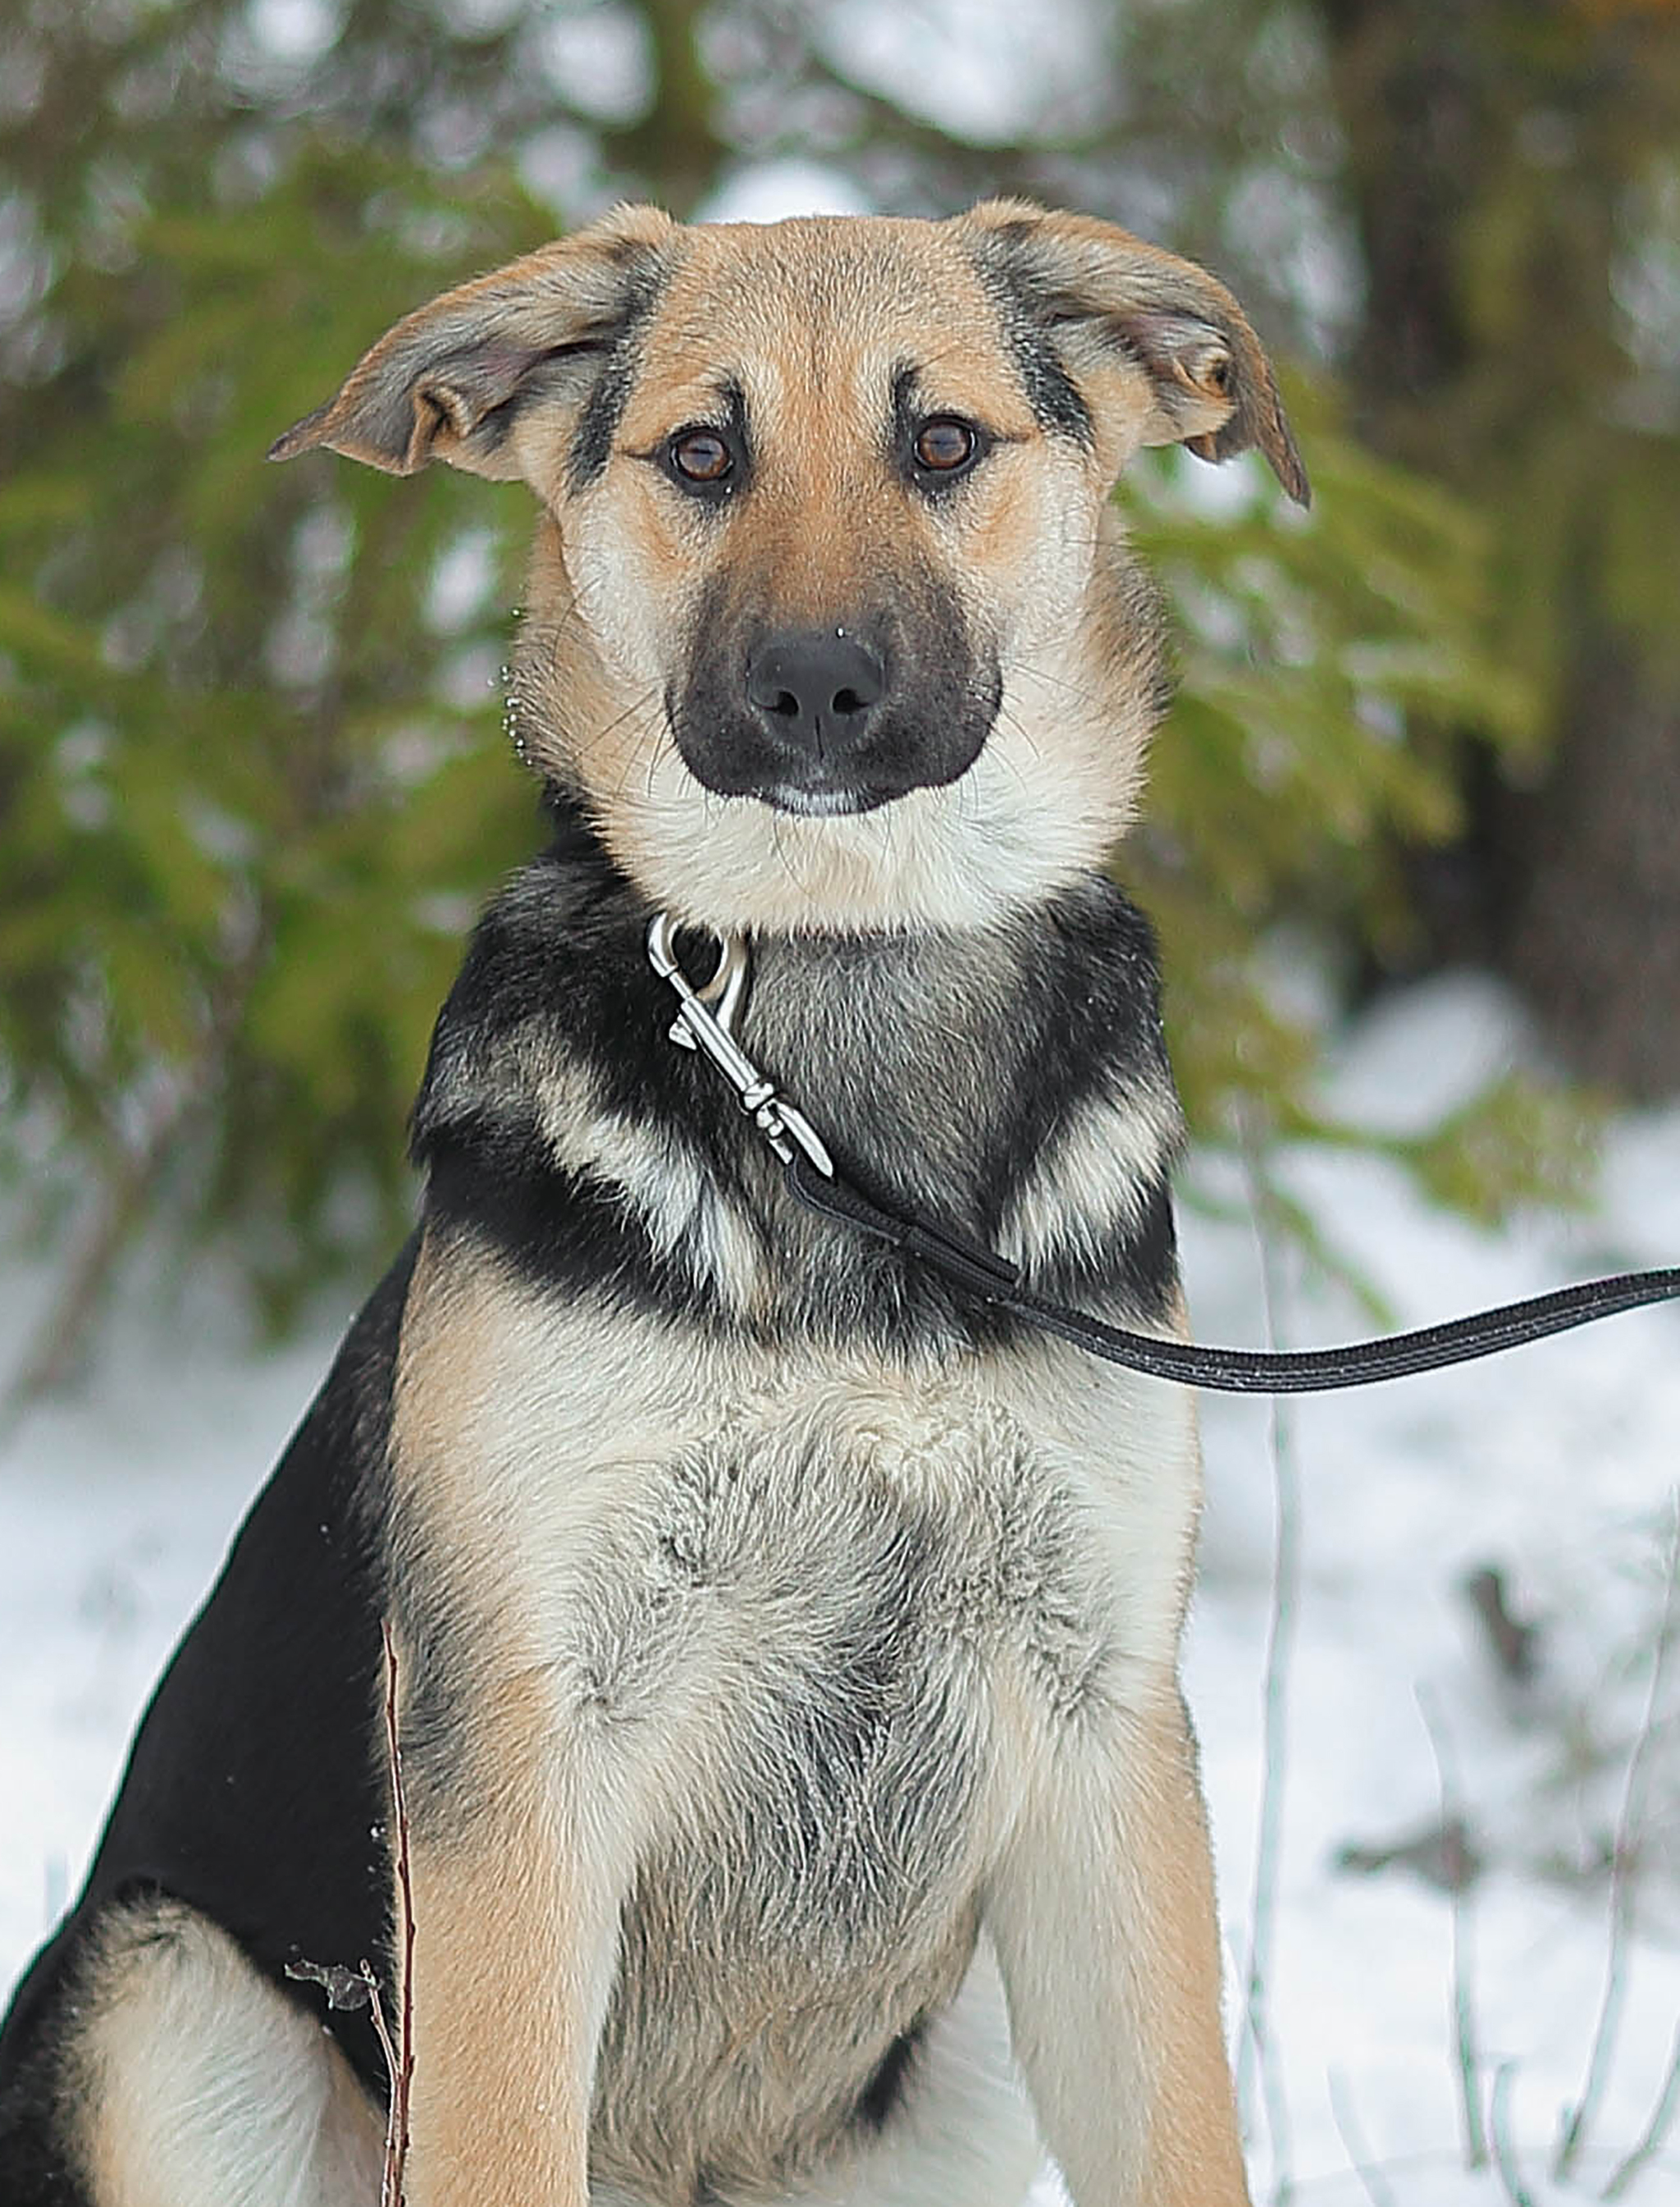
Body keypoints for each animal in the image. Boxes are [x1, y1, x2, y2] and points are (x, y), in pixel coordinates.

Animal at [0, 194, 1307, 2207]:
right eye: (703, 454)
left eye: (942, 443)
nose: (815, 688)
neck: (835, 1018)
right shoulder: (525, 1755)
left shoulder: (1105, 1739)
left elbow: (1183, 2144)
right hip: (169, 1994)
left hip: (965, 2054)